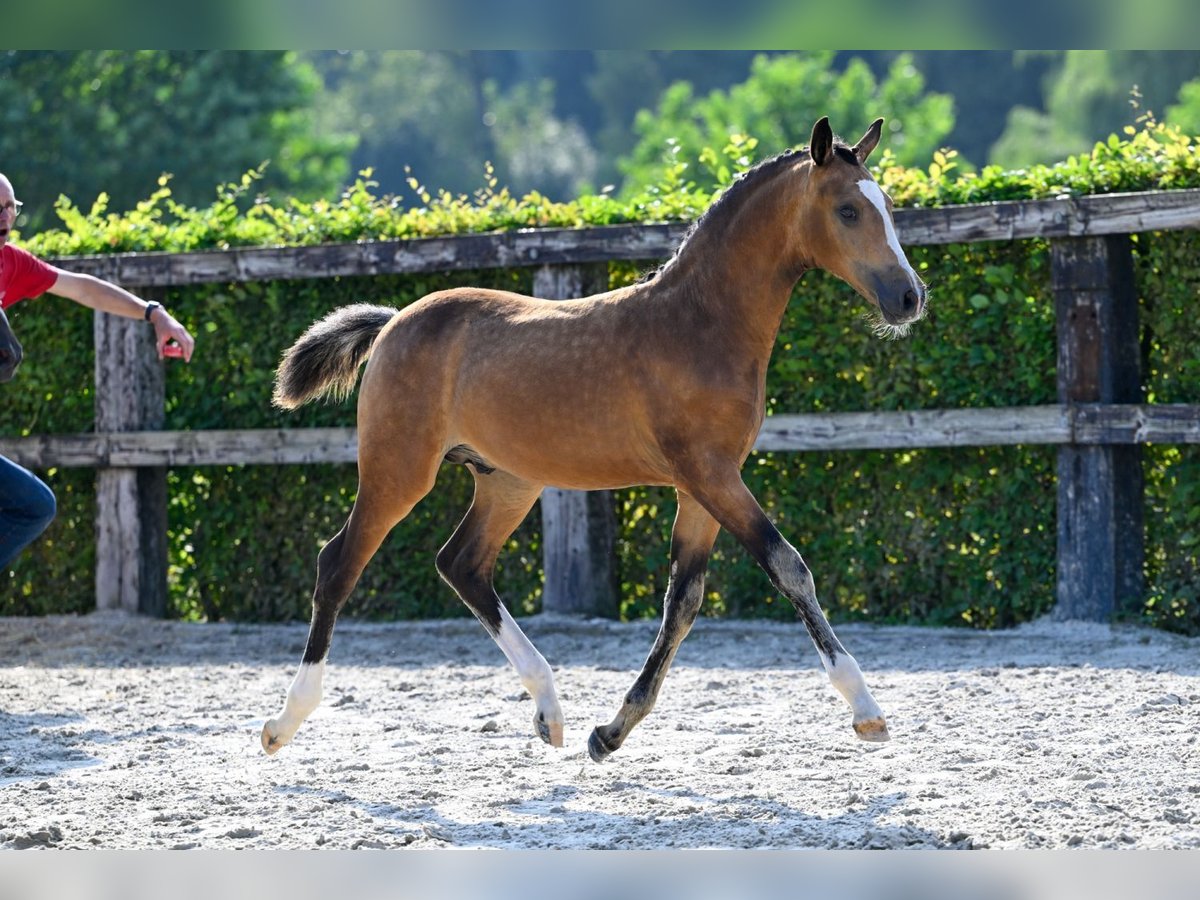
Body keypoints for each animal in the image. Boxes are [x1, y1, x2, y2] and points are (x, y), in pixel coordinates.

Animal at [262, 118, 926, 763]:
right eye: (847, 209)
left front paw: (610, 733)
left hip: (508, 481)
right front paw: (866, 709)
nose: (910, 297)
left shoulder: (703, 485)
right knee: (339, 563)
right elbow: (788, 567)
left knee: (463, 564)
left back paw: (550, 711)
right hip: (398, 470)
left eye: (889, 204)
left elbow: (683, 599)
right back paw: (283, 722)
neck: (699, 325)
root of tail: (393, 323)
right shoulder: (711, 472)